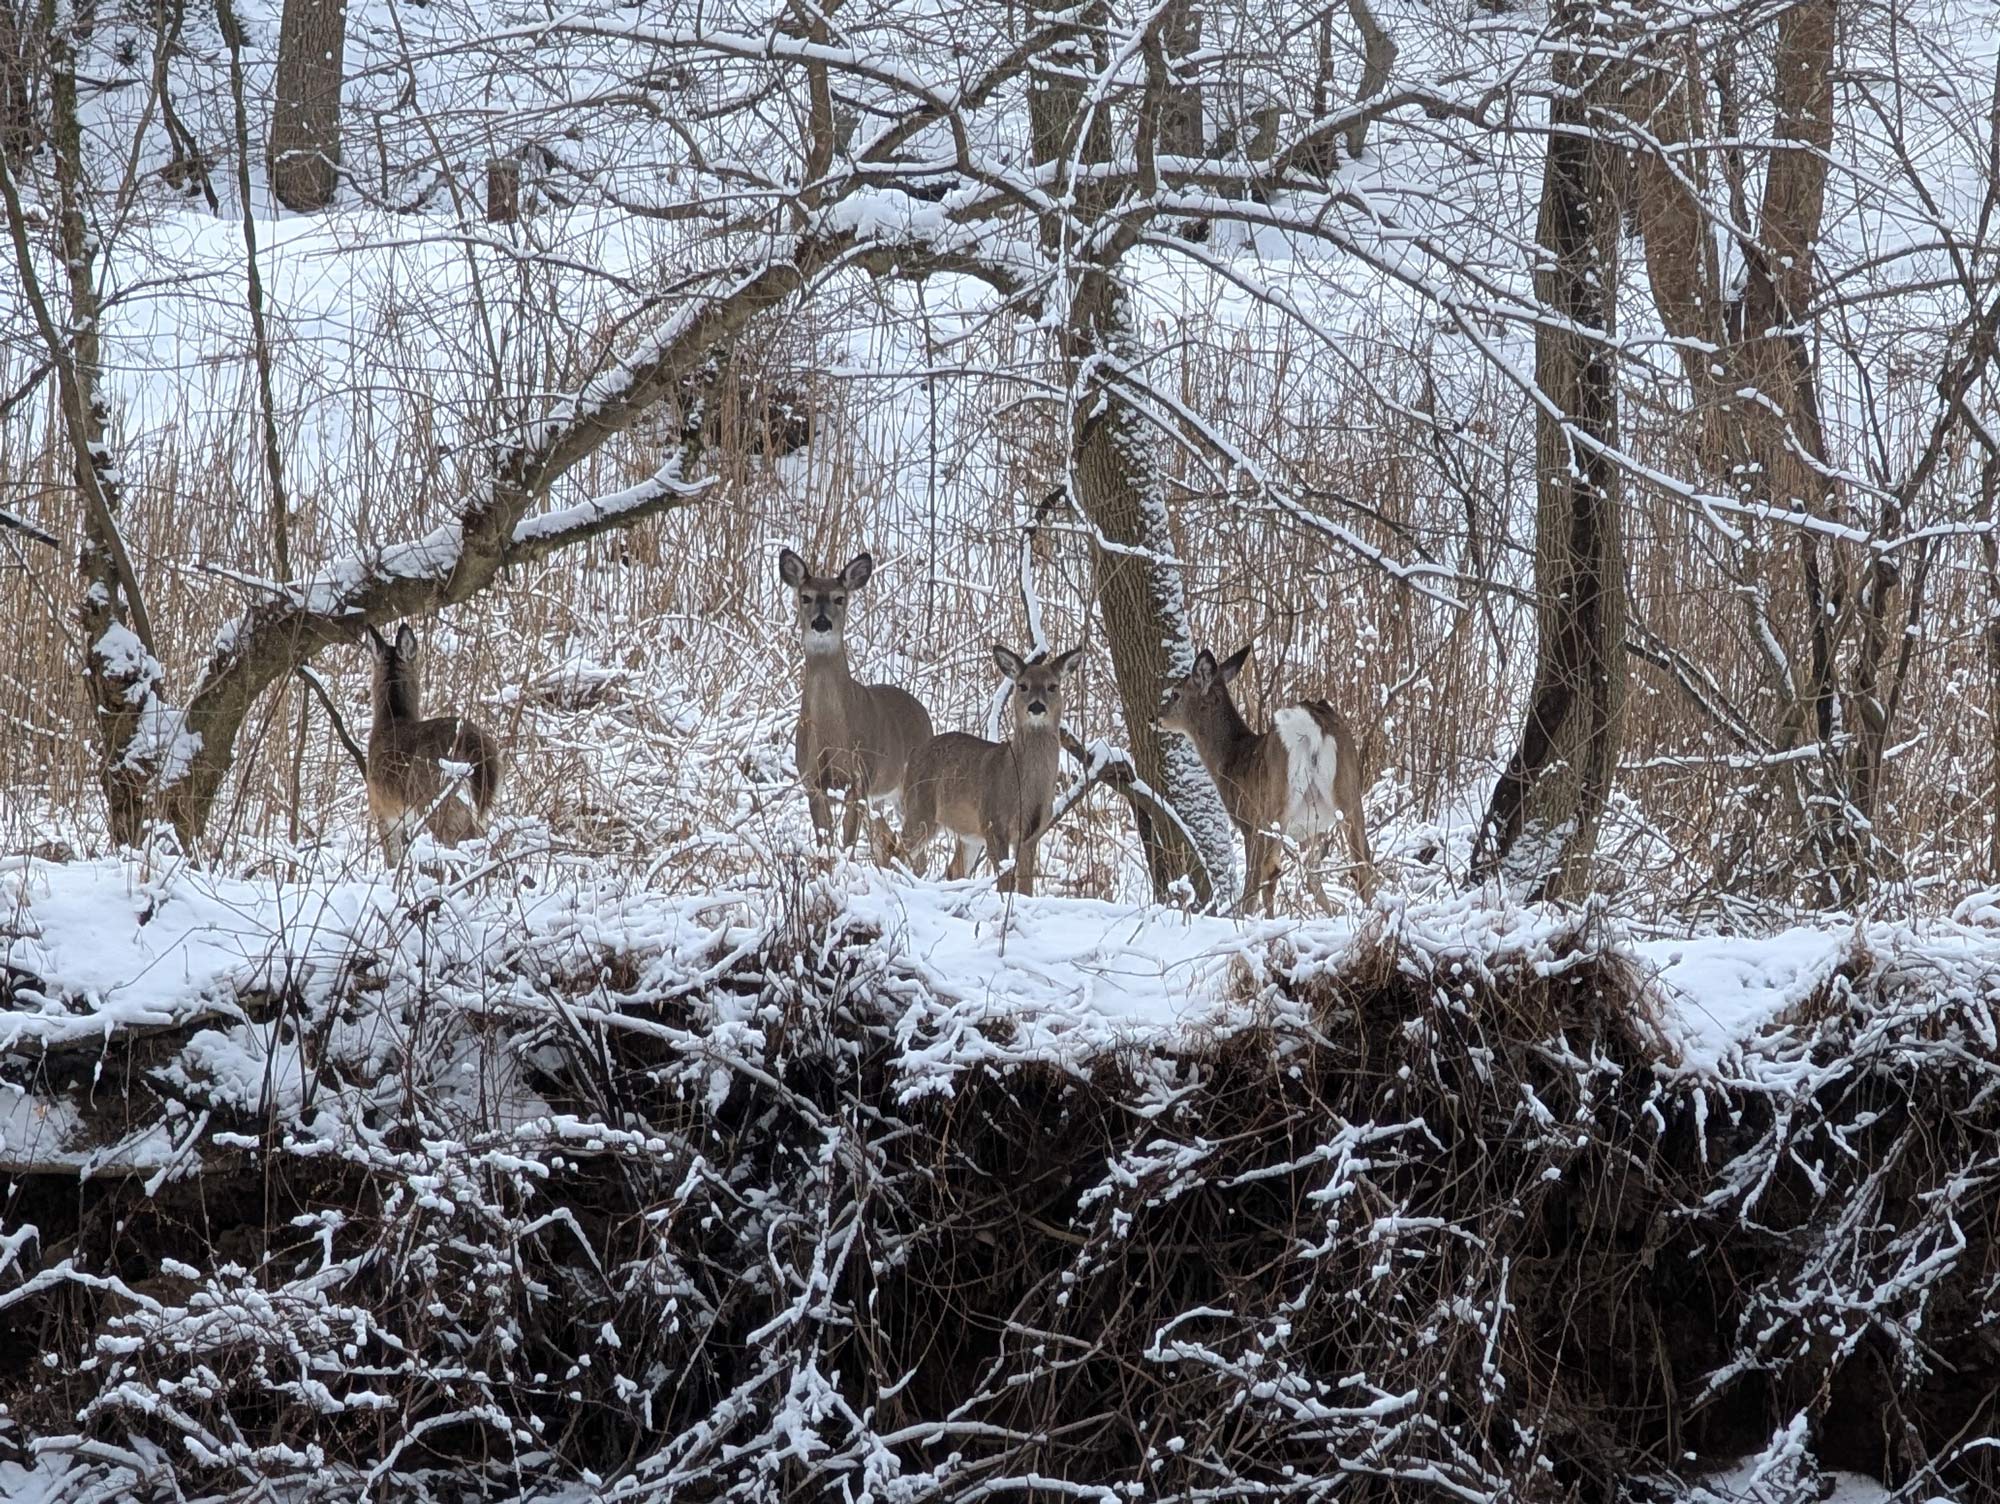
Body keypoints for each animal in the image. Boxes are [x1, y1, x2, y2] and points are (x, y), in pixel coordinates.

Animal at [364, 623, 503, 864]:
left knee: (463, 837)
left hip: (434, 793)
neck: (392, 718)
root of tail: (470, 739)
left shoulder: (382, 810)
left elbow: (392, 858)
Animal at [779, 548, 935, 854]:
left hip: (910, 787)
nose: (821, 622)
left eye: (840, 597)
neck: (831, 734)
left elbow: (847, 841)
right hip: (882, 797)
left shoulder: (861, 779)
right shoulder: (812, 779)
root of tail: (923, 712)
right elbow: (824, 839)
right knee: (887, 840)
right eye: (806, 597)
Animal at [901, 645, 1082, 896]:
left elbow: (1025, 885)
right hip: (920, 809)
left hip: (967, 832)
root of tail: (912, 755)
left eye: (1052, 686)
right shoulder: (994, 822)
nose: (1036, 706)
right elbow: (1004, 881)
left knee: (954, 869)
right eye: (1022, 685)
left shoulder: (1032, 833)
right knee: (894, 849)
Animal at [1158, 645, 1374, 916]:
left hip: (1274, 803)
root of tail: (1314, 725)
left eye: (1176, 694)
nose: (1156, 718)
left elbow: (1257, 877)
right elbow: (1310, 877)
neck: (1231, 759)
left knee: (1268, 871)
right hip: (1348, 790)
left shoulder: (1247, 820)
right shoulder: (1310, 829)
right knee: (1362, 860)